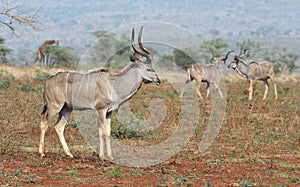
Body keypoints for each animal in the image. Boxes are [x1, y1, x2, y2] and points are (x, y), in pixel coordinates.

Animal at [38, 26, 161, 161]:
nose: (158, 81)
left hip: (66, 108)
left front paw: (110, 157)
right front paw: (102, 156)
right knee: (43, 124)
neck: (114, 84)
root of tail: (47, 81)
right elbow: (102, 132)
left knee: (59, 127)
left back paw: (69, 154)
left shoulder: (109, 112)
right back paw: (42, 153)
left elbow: (108, 132)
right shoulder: (101, 110)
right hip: (54, 106)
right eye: (149, 69)